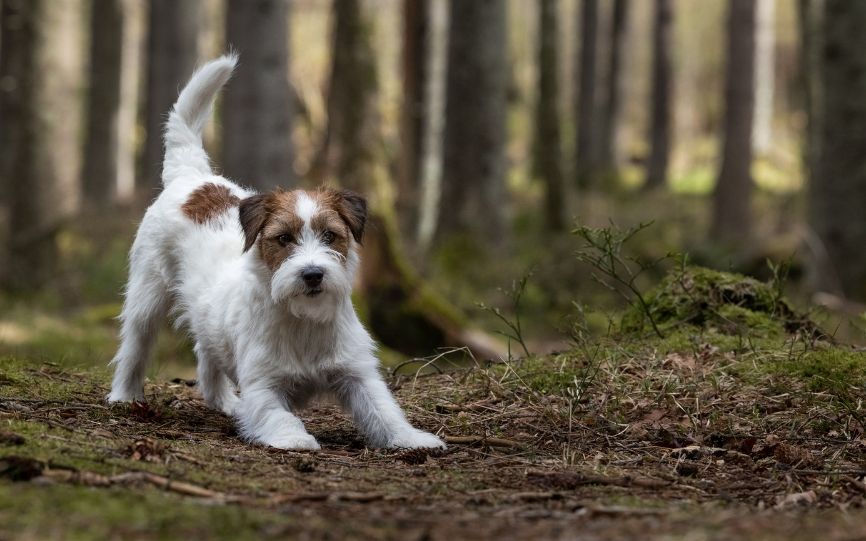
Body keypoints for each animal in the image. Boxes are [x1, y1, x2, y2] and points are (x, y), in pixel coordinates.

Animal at [106, 54, 446, 452]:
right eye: (284, 238)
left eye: (330, 235)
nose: (312, 274)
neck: (303, 321)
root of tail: (191, 177)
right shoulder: (262, 386)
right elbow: (278, 414)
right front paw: (293, 438)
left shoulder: (357, 374)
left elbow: (384, 409)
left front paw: (411, 438)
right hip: (146, 296)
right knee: (135, 346)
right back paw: (125, 395)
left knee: (207, 353)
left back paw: (223, 401)